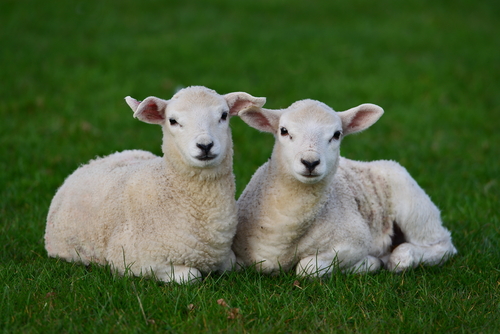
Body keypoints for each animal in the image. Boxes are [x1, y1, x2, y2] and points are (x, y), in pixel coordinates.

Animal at [45, 85, 268, 284]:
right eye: (173, 121)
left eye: (224, 115)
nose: (205, 145)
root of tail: (92, 161)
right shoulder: (133, 259)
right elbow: (191, 276)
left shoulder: (224, 257)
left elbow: (231, 265)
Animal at [234, 99, 458, 276]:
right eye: (284, 131)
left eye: (336, 134)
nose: (310, 162)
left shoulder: (355, 240)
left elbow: (308, 268)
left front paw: (369, 263)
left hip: (414, 206)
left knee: (442, 244)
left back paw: (401, 257)